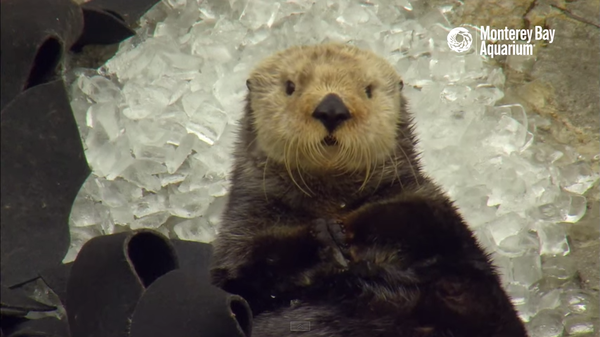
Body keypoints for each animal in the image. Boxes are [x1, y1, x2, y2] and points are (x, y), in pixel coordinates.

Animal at [209, 43, 528, 334]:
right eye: (290, 86)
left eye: (368, 89)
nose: (332, 108)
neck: (330, 200)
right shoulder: (242, 228)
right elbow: (245, 276)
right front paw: (323, 236)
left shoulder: (422, 200)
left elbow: (422, 222)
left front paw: (349, 228)